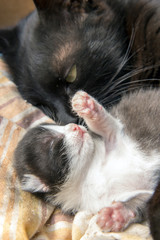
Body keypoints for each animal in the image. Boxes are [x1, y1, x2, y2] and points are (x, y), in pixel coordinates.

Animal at [14, 90, 160, 232]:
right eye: (53, 144)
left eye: (60, 125)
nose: (75, 126)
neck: (88, 172)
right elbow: (139, 203)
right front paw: (116, 214)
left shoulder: (118, 139)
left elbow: (109, 126)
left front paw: (89, 106)